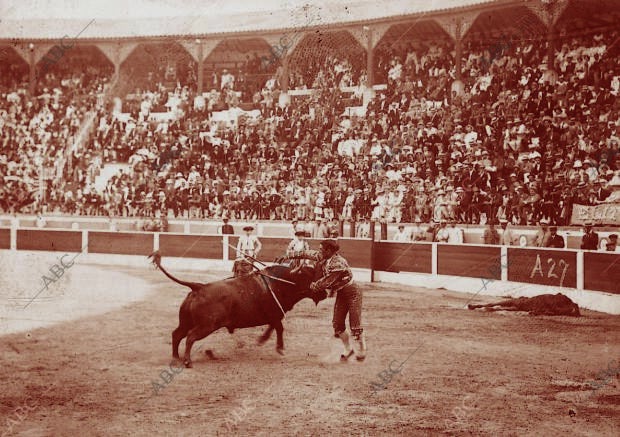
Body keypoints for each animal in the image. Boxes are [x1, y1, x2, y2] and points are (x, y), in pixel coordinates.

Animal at [148, 250, 326, 366]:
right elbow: (279, 328)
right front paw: (279, 348)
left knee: (176, 334)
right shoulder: (275, 314)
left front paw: (262, 340)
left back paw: (176, 358)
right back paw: (187, 361)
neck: (281, 282)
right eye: (308, 276)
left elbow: (273, 327)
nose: (324, 292)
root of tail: (199, 287)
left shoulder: (273, 316)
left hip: (186, 322)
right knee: (190, 337)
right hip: (207, 326)